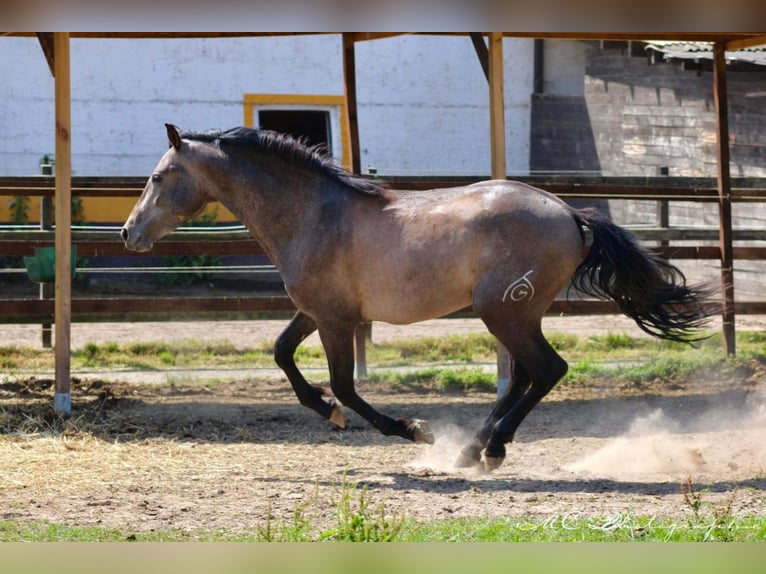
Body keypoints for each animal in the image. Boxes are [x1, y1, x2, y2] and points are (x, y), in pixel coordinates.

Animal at [121, 125, 720, 472]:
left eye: (158, 177)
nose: (129, 233)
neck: (313, 215)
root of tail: (572, 214)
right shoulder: (317, 312)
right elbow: (282, 354)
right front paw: (327, 410)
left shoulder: (336, 320)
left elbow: (346, 385)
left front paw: (408, 429)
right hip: (514, 314)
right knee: (525, 377)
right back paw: (473, 448)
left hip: (504, 312)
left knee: (547, 370)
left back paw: (490, 450)